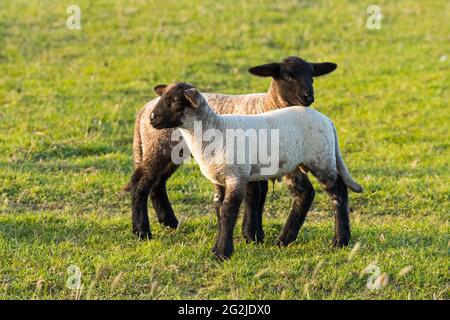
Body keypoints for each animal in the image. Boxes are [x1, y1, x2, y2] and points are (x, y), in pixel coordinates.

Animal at [129, 57, 338, 245]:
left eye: (312, 76)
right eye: (287, 76)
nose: (308, 97)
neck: (266, 105)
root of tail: (144, 110)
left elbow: (260, 197)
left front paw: (255, 234)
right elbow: (254, 196)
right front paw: (252, 235)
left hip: (171, 153)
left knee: (158, 183)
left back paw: (169, 222)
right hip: (158, 148)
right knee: (140, 183)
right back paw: (142, 231)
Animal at [150, 82, 362, 260]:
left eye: (175, 101)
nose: (152, 118)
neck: (213, 129)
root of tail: (327, 120)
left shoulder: (236, 176)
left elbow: (228, 211)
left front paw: (222, 253)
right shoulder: (219, 179)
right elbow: (219, 210)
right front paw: (217, 248)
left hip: (321, 158)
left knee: (338, 192)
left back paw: (340, 241)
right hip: (297, 163)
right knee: (306, 194)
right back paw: (284, 240)